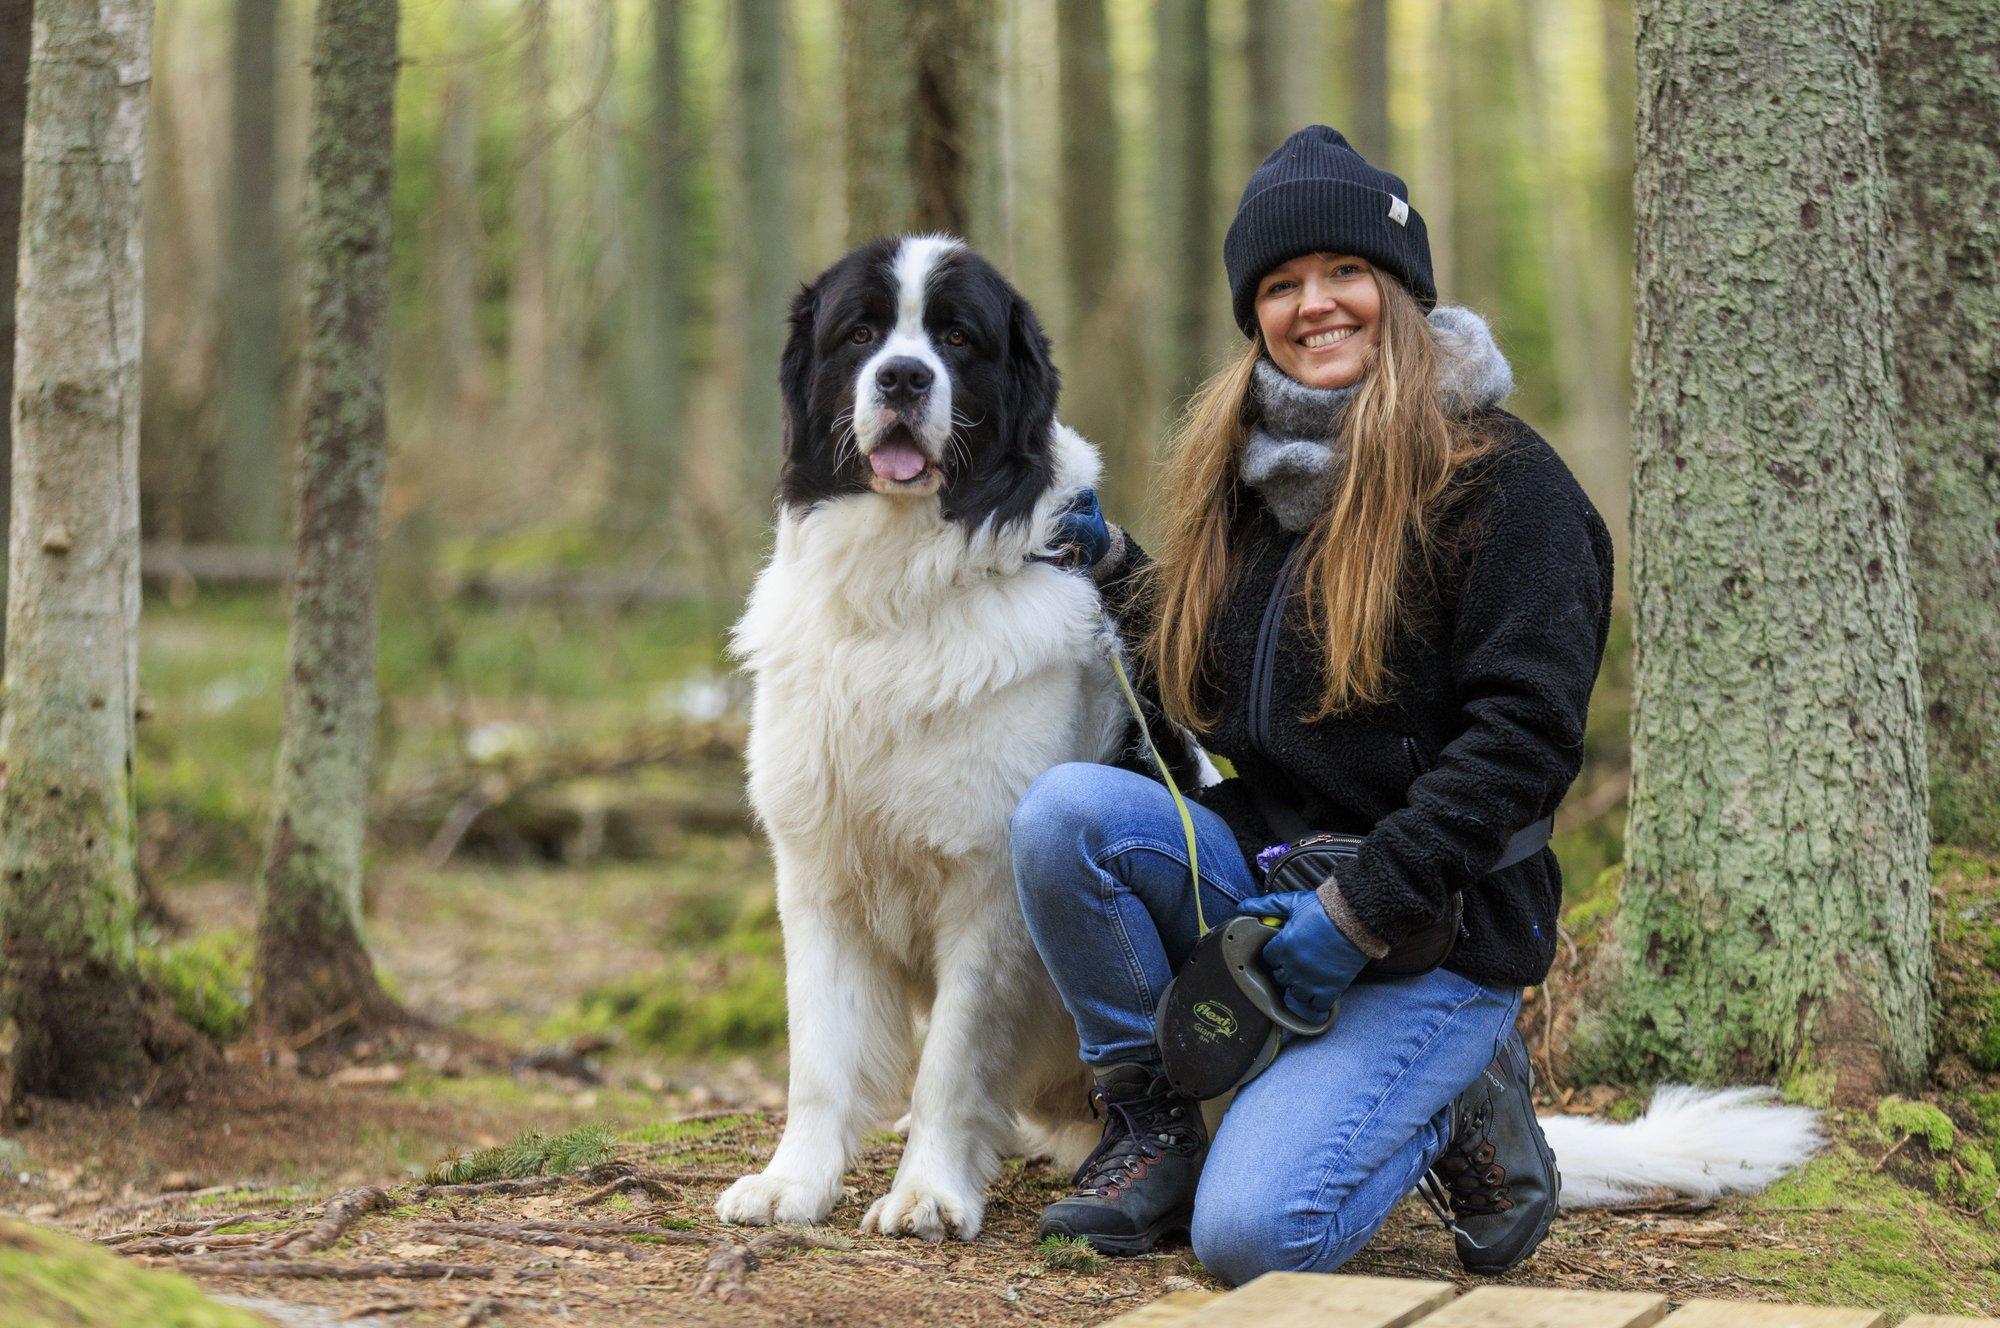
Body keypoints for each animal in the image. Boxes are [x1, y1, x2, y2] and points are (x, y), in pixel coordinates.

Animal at [716, 233, 1192, 1240]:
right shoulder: (816, 869)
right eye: (860, 333)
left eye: (958, 338)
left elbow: (954, 1057)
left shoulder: (986, 888)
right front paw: (792, 1182)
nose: (902, 376)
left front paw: (927, 1191)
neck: (897, 592)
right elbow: (818, 1055)